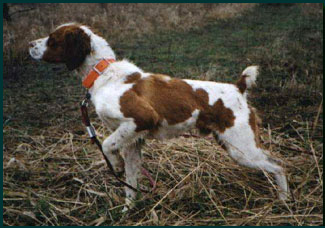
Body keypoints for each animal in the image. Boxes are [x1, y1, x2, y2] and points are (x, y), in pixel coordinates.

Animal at [29, 22, 288, 210]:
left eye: (53, 39)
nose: (30, 44)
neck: (104, 74)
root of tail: (238, 87)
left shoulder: (141, 119)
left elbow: (106, 144)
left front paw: (115, 164)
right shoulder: (132, 142)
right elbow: (131, 183)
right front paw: (128, 211)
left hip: (241, 149)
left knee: (279, 165)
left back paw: (284, 200)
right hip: (236, 146)